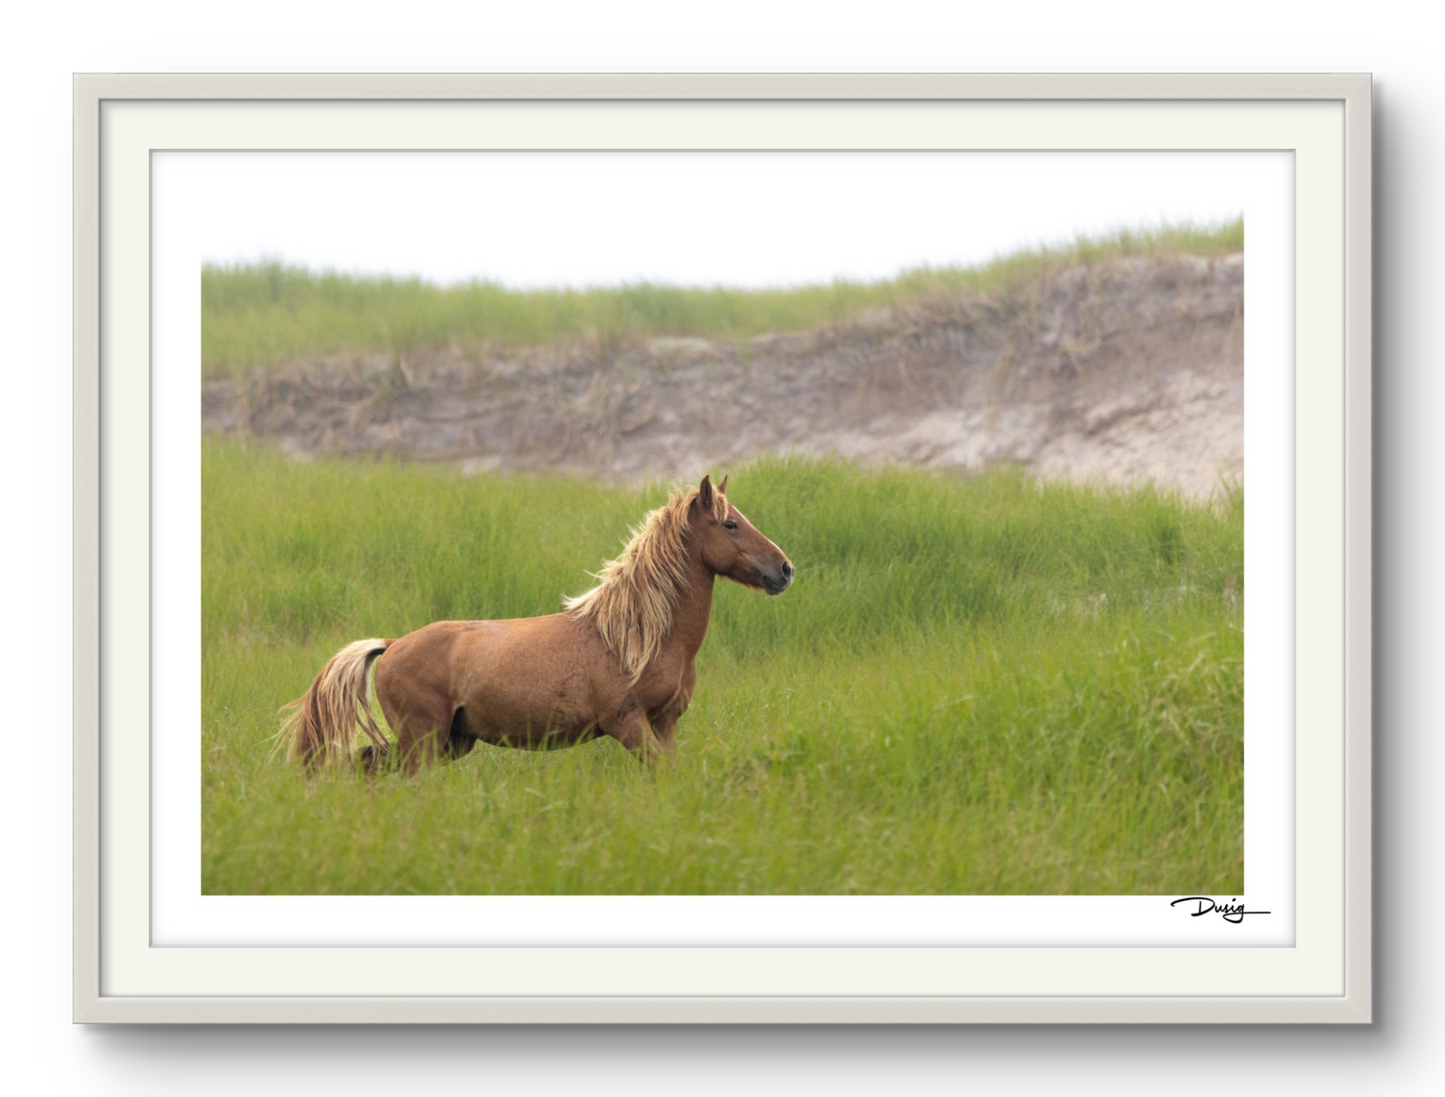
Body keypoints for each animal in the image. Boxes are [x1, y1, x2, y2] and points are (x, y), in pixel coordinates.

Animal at [275, 476, 797, 774]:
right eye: (729, 524)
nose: (785, 569)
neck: (640, 637)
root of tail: (392, 643)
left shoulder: (664, 726)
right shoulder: (628, 724)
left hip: (450, 742)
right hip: (423, 739)